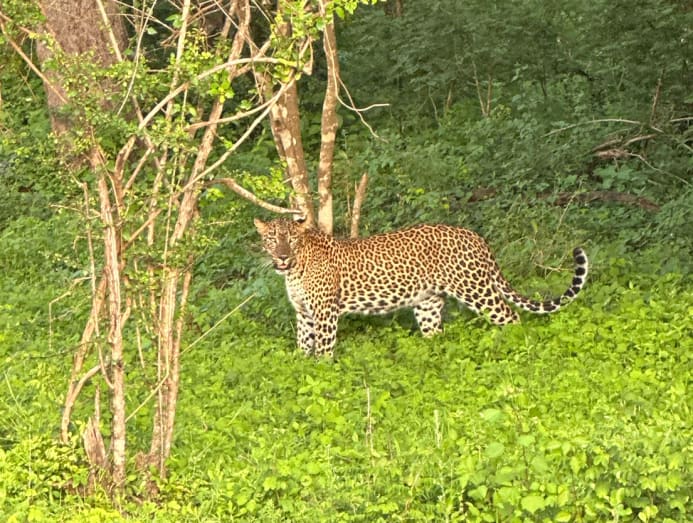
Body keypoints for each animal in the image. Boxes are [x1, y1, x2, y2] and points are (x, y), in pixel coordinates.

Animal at [255, 217, 588, 357]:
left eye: (291, 239)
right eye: (271, 239)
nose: (282, 256)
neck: (294, 269)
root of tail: (476, 236)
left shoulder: (324, 313)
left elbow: (323, 348)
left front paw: (323, 372)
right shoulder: (304, 314)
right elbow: (303, 346)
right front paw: (301, 369)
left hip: (476, 288)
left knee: (511, 317)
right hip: (428, 303)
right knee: (435, 334)